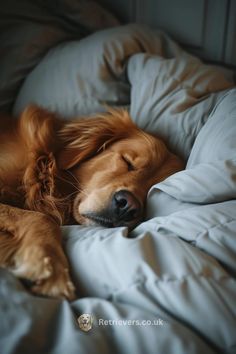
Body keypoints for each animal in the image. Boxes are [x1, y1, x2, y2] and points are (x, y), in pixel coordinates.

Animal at [0, 106, 183, 300]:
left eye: (151, 191)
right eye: (127, 162)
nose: (128, 206)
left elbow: (42, 217)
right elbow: (43, 218)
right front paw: (52, 269)